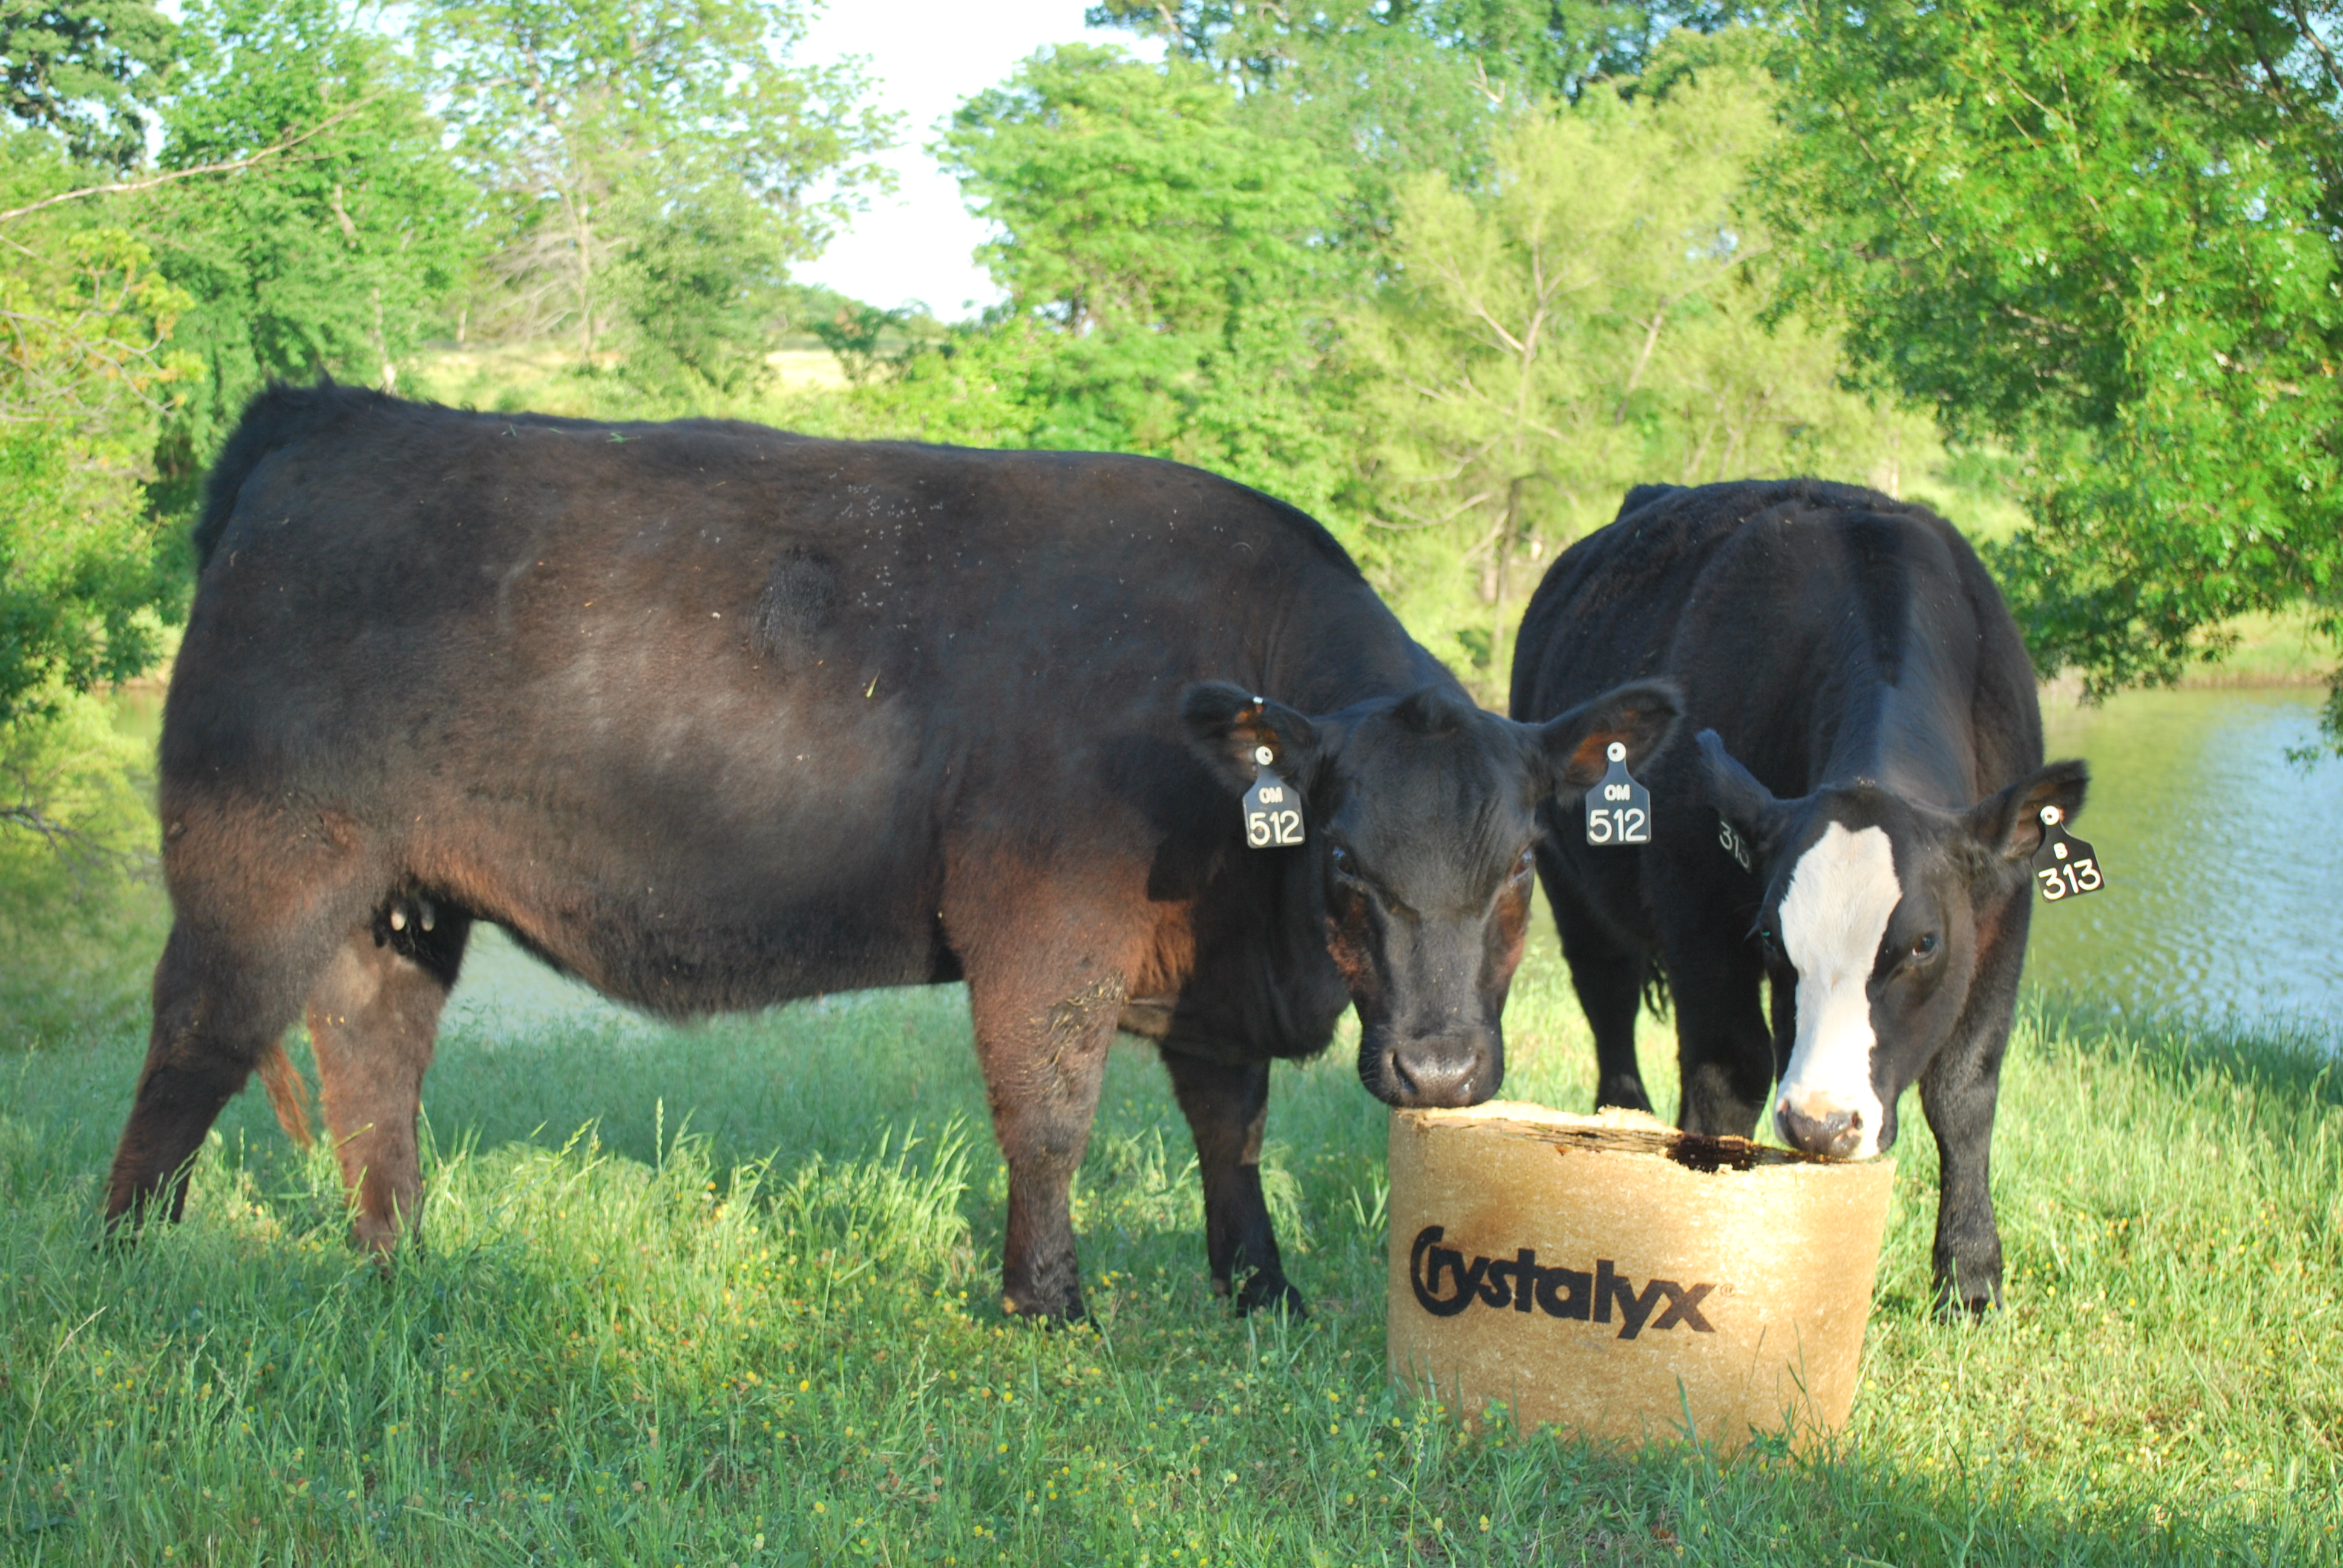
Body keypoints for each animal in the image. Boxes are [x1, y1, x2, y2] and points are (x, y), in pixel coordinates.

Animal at [1509, 478, 2099, 1312]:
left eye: (1923, 943)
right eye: (1769, 938)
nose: (1821, 1125)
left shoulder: (1999, 920)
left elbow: (1964, 1089)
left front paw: (1968, 1277)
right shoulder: (1697, 913)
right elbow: (1728, 1076)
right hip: (1572, 888)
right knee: (1610, 1010)